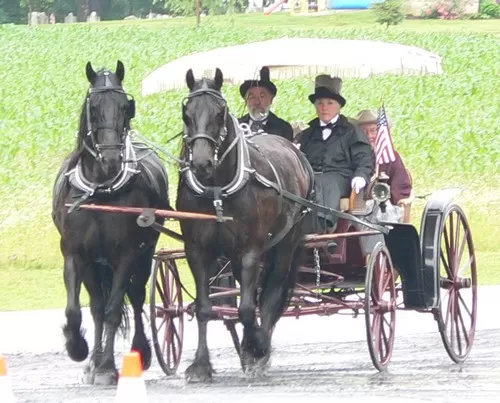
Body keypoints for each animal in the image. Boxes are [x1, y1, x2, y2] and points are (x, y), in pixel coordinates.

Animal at [52, 61, 170, 386]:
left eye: (125, 106)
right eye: (93, 106)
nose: (111, 159)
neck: (100, 189)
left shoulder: (126, 254)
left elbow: (114, 308)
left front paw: (106, 367)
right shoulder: (76, 254)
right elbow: (76, 309)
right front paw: (79, 349)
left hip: (144, 254)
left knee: (137, 296)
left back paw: (139, 352)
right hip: (96, 264)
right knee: (95, 305)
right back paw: (92, 361)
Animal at [177, 68, 312, 382]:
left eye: (220, 112)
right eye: (186, 113)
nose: (201, 163)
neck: (218, 189)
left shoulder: (251, 250)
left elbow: (249, 308)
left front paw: (256, 348)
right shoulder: (197, 251)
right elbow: (205, 308)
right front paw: (200, 365)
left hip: (285, 244)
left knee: (271, 295)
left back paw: (259, 345)